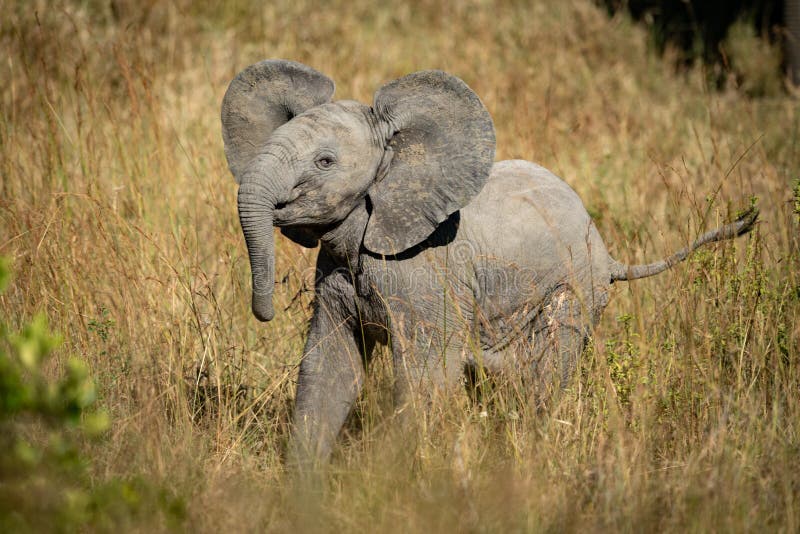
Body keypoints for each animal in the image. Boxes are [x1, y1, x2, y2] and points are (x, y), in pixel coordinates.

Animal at [221, 59, 758, 462]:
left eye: (325, 162)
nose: (263, 311)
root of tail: (608, 253)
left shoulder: (428, 276)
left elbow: (424, 379)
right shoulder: (336, 272)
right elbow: (329, 370)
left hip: (576, 291)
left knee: (545, 379)